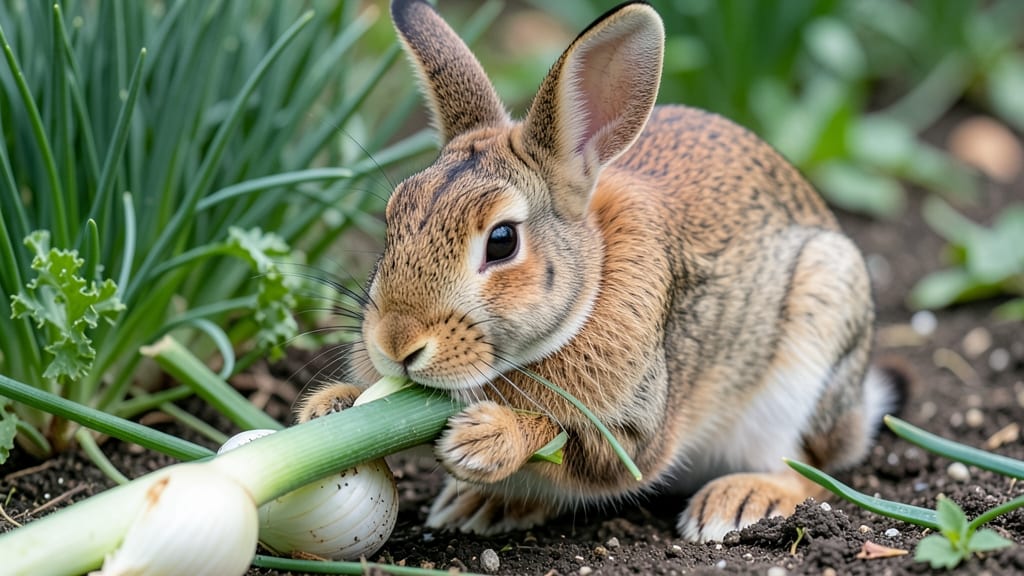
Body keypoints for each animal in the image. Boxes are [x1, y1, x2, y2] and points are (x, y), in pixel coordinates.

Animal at [298, 0, 902, 543]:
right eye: (392, 217)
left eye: (502, 241)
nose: (396, 345)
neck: (589, 287)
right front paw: (328, 410)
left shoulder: (635, 430)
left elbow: (580, 447)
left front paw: (485, 439)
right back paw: (482, 506)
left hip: (816, 331)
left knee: (809, 470)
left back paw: (739, 502)